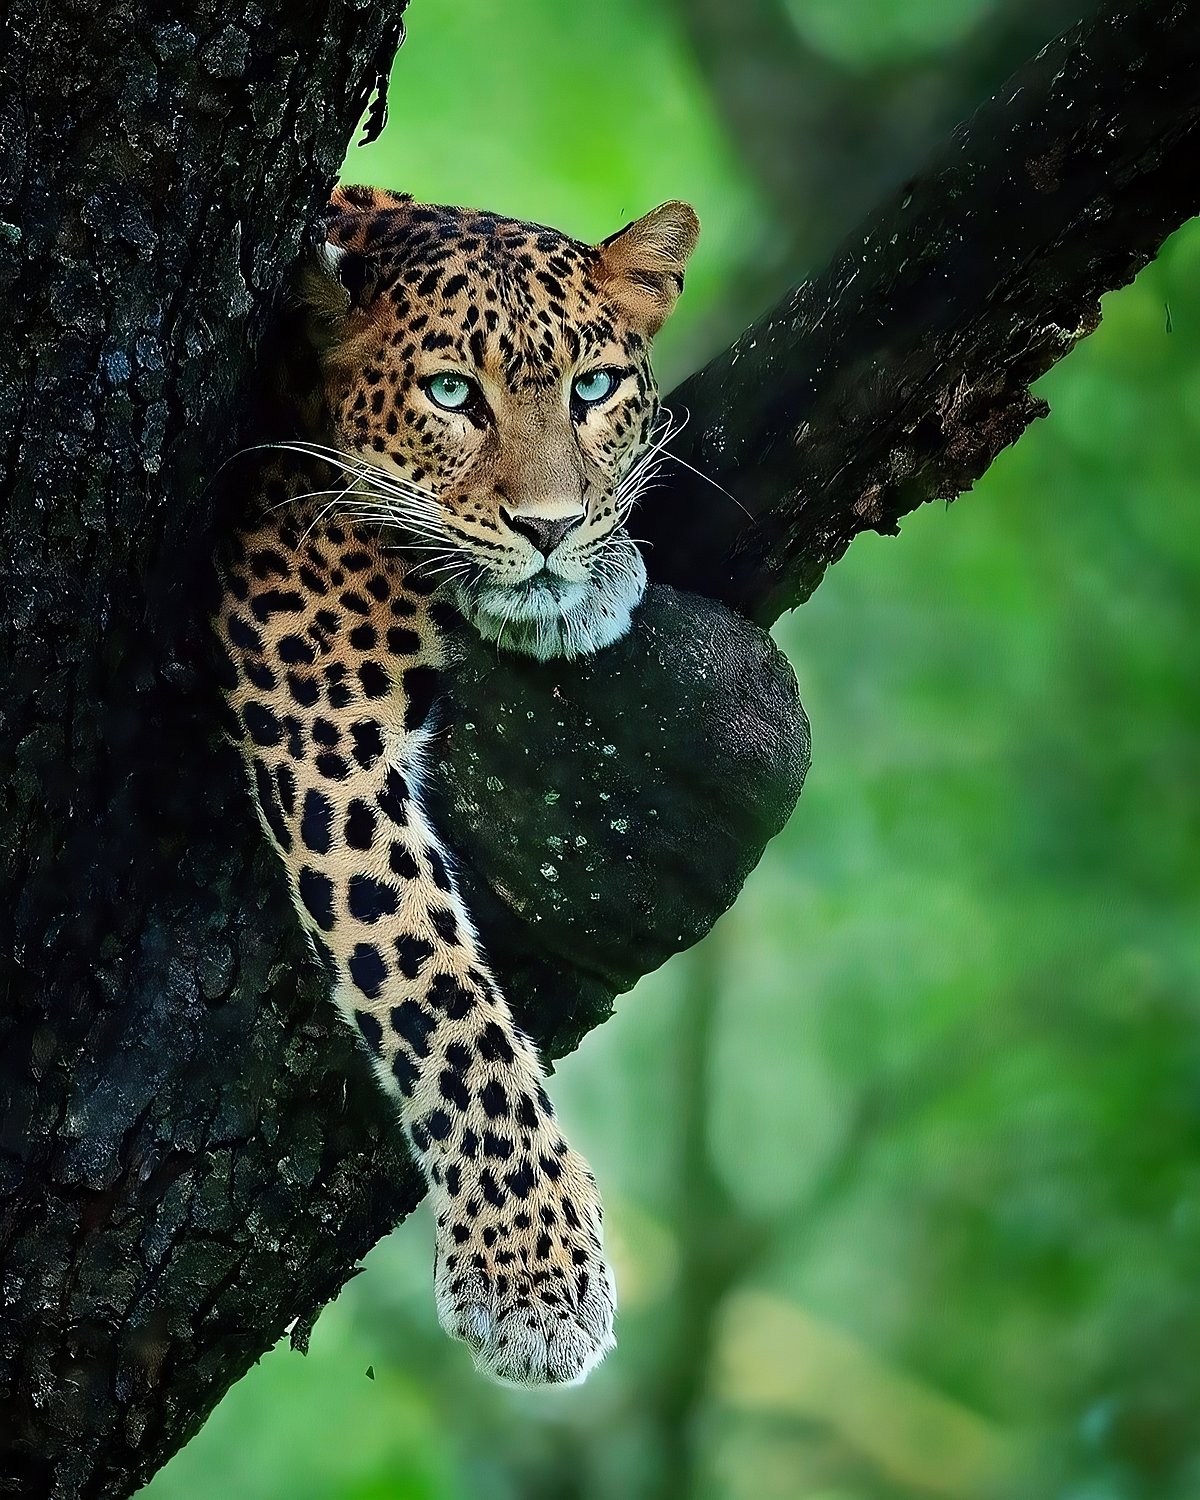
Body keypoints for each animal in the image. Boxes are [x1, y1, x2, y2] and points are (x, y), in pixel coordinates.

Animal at [214, 185, 699, 1386]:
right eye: (449, 395)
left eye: (592, 389)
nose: (551, 529)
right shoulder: (322, 720)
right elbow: (431, 987)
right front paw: (532, 1273)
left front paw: (597, 574)